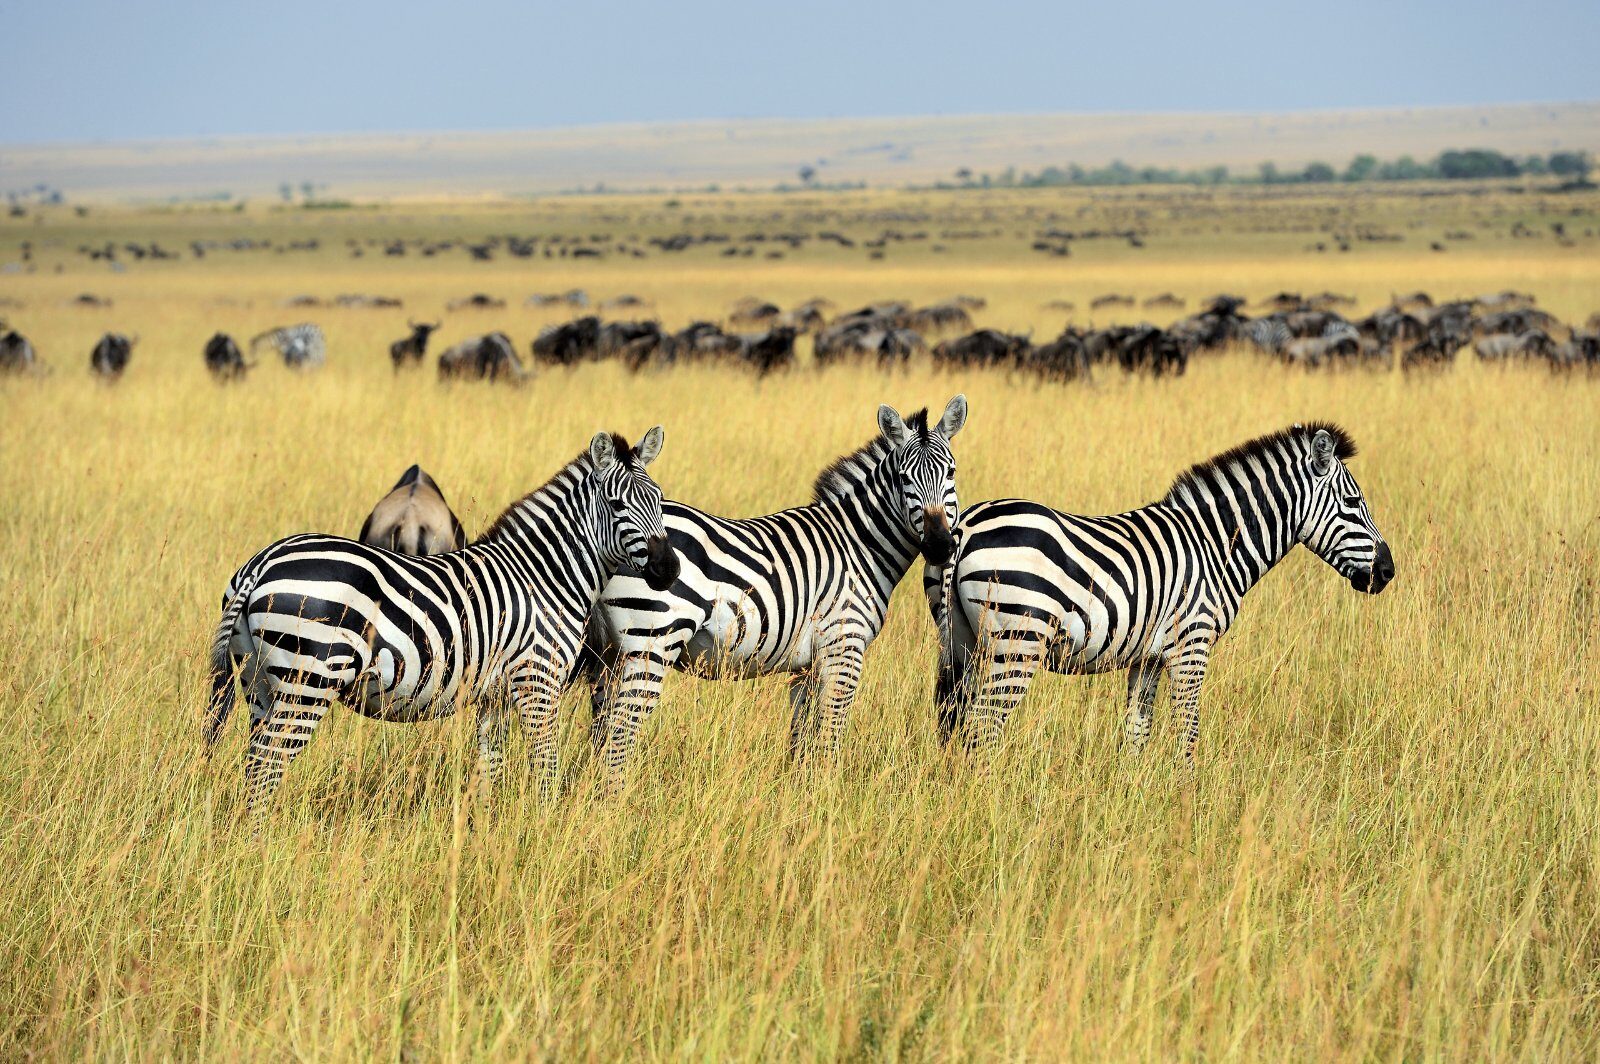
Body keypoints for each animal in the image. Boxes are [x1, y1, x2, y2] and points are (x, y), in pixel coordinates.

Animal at [205, 428, 679, 816]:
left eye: (658, 499)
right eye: (616, 505)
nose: (668, 569)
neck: (544, 574)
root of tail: (261, 563)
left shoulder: (496, 698)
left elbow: (488, 770)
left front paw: (484, 837)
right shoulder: (538, 681)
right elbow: (545, 769)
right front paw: (546, 832)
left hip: (259, 682)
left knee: (254, 761)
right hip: (308, 680)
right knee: (267, 764)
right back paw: (259, 845)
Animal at [582, 395, 967, 789]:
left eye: (951, 473)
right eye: (904, 479)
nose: (939, 545)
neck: (857, 544)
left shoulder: (808, 666)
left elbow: (802, 739)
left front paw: (802, 793)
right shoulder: (844, 646)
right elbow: (831, 735)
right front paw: (828, 793)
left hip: (610, 655)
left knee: (601, 731)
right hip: (653, 641)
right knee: (620, 734)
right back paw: (616, 799)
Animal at [926, 423, 1394, 761]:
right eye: (1353, 503)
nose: (1388, 572)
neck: (1215, 544)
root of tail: (965, 526)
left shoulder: (1146, 658)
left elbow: (1137, 732)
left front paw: (1132, 802)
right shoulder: (1192, 646)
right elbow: (1188, 730)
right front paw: (1188, 806)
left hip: (961, 641)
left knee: (954, 724)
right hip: (1018, 642)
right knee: (983, 731)